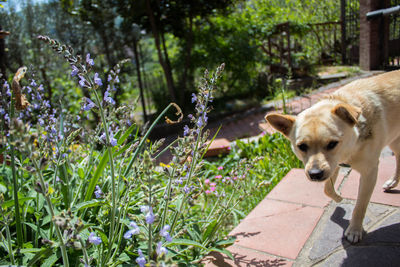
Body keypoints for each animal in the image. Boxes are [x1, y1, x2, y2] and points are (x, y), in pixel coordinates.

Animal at [266, 70, 400, 244]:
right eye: (302, 146)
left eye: (332, 144)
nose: (315, 174)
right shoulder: (334, 165)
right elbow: (327, 189)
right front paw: (338, 198)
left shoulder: (369, 173)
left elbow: (360, 205)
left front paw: (354, 230)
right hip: (394, 141)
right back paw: (393, 182)